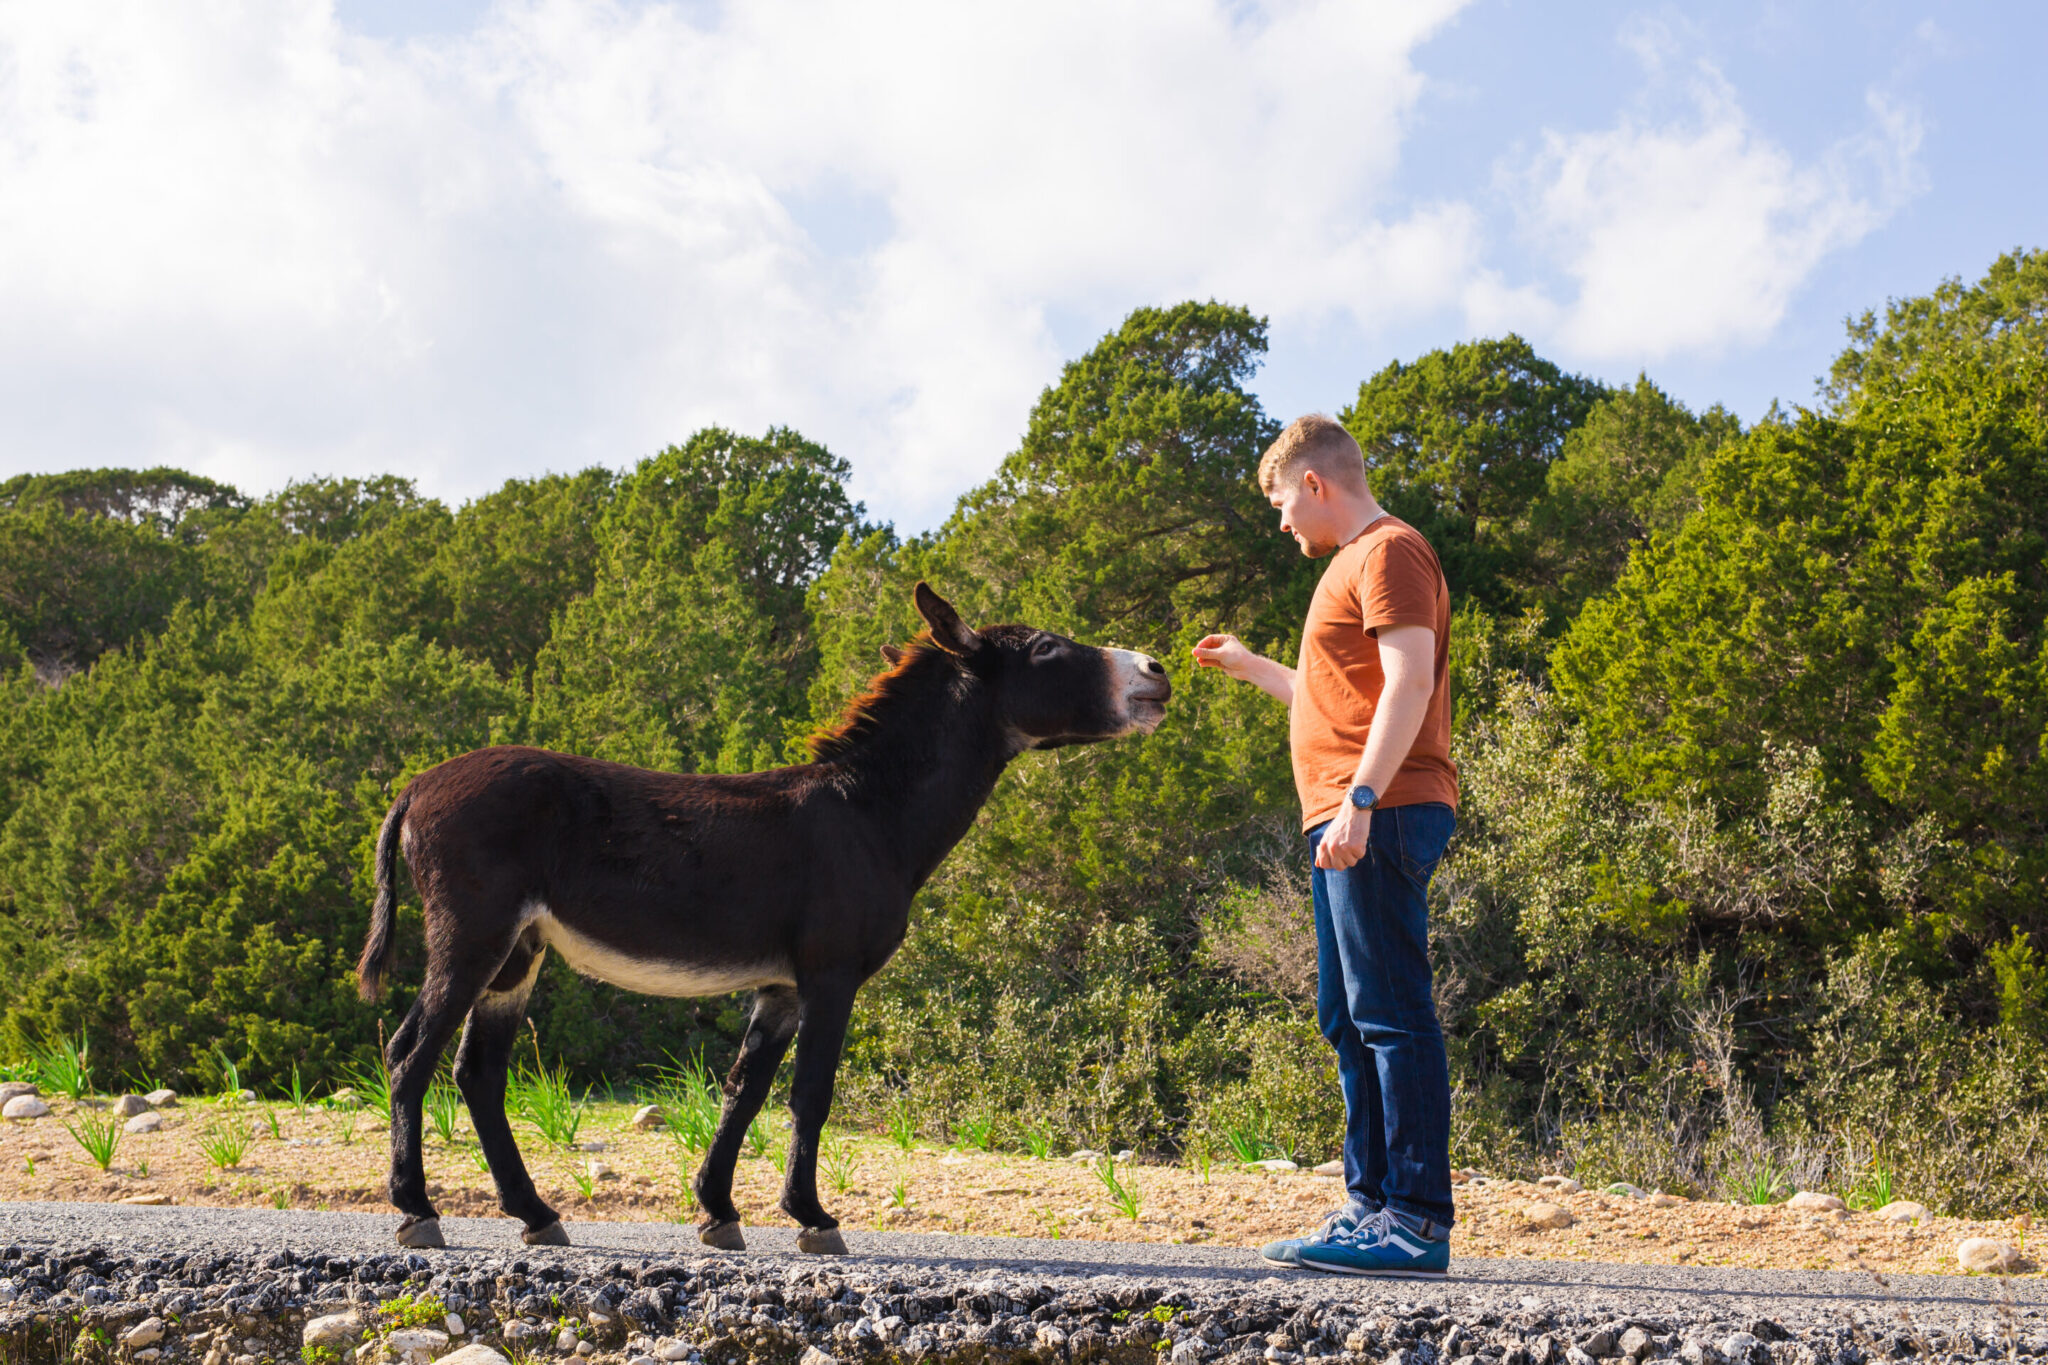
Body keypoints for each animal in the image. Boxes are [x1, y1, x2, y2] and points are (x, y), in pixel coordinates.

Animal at [355, 582, 1171, 1252]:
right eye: (1046, 648)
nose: (1159, 668)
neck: (869, 813)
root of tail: (418, 785)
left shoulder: (778, 986)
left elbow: (743, 1091)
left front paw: (717, 1211)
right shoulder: (830, 973)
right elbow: (810, 1093)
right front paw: (813, 1217)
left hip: (518, 952)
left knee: (477, 1072)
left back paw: (536, 1214)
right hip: (473, 934)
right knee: (408, 1052)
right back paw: (417, 1210)